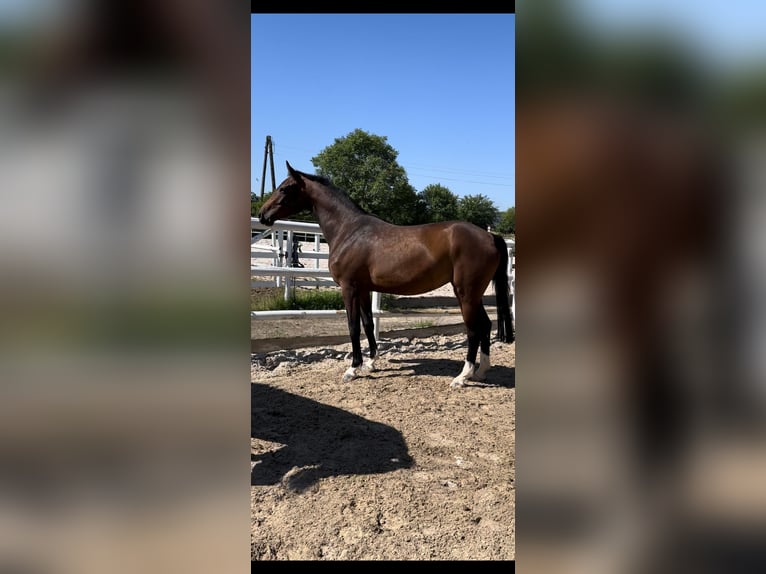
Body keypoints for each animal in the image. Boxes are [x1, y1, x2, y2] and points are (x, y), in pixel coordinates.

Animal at [258, 160, 516, 390]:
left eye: (284, 188)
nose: (262, 214)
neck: (349, 230)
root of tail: (490, 236)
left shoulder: (349, 288)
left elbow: (353, 326)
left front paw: (352, 369)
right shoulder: (363, 289)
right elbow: (368, 323)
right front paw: (370, 363)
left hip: (465, 293)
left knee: (473, 329)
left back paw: (462, 377)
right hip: (474, 294)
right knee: (485, 325)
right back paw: (481, 372)